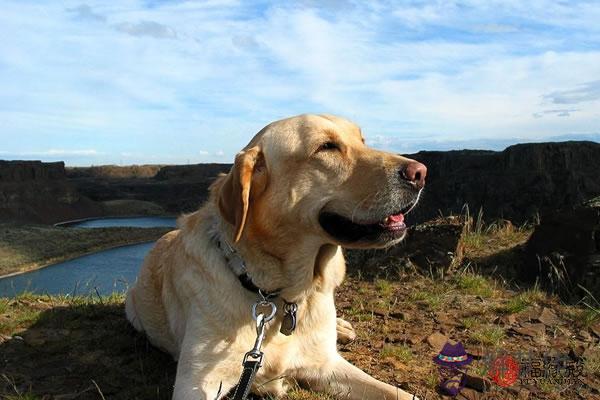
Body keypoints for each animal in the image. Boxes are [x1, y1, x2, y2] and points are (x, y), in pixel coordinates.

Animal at [125, 113, 426, 400]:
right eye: (326, 147)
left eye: (362, 140)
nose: (420, 173)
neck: (280, 294)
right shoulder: (196, 382)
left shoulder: (328, 366)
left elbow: (400, 394)